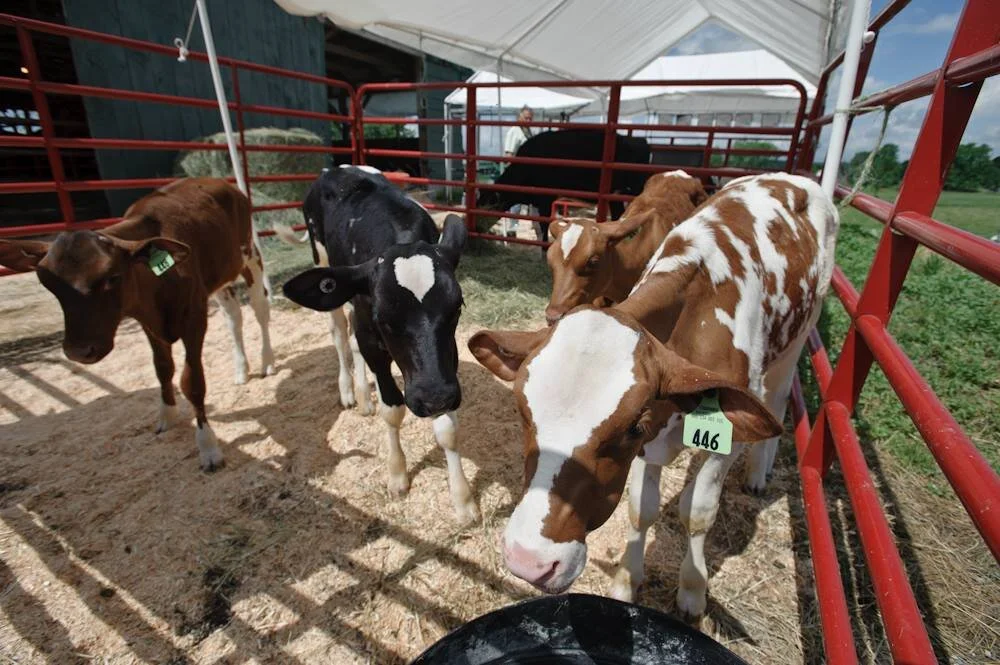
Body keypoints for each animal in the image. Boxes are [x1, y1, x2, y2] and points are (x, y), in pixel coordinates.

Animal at [0, 178, 275, 471]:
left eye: (113, 277)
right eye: (48, 284)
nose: (78, 351)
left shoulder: (193, 316)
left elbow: (192, 381)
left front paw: (208, 447)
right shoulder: (147, 321)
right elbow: (162, 368)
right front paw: (167, 415)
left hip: (250, 257)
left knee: (260, 309)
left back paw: (267, 362)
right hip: (221, 277)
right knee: (234, 317)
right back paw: (241, 369)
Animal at [281, 165, 479, 524]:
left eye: (456, 308)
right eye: (385, 318)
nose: (433, 398)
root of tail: (333, 169)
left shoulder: (446, 362)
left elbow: (447, 428)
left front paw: (463, 500)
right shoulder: (372, 334)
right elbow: (393, 410)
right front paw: (398, 474)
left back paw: (362, 396)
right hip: (324, 264)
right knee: (339, 332)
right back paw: (348, 390)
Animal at [476, 129, 652, 243]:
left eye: (486, 206)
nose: (476, 228)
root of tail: (639, 140)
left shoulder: (546, 199)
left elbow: (544, 224)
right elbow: (537, 225)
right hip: (615, 195)